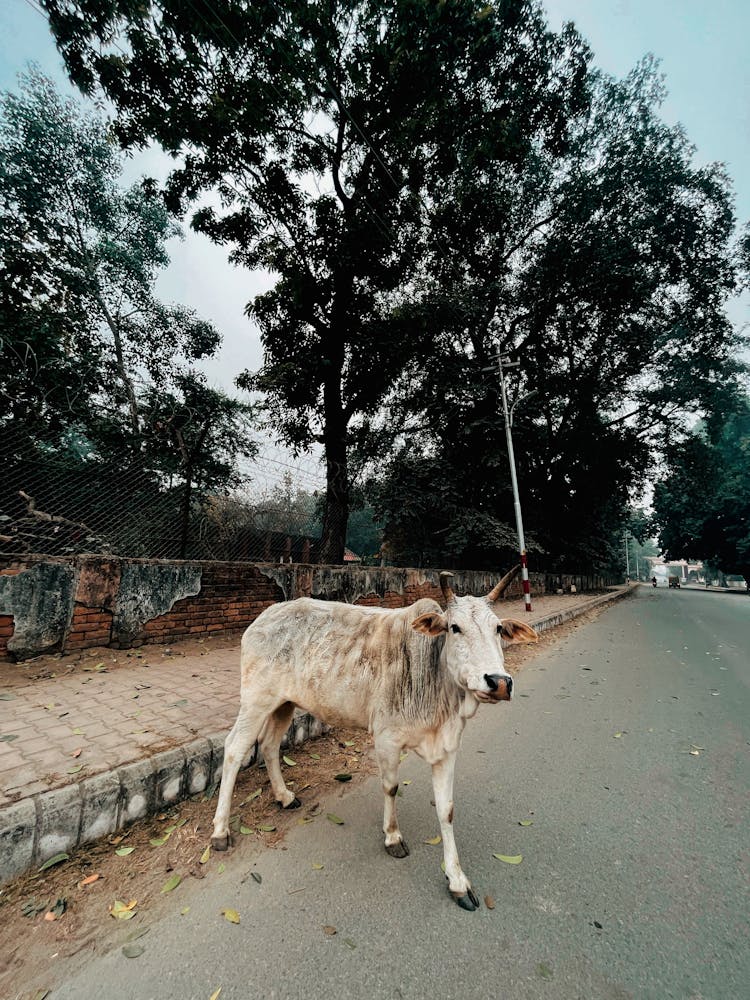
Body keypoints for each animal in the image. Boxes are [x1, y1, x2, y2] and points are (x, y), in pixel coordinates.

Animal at [212, 568, 540, 912]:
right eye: (455, 628)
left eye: (498, 629)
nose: (499, 682)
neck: (433, 679)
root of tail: (264, 616)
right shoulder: (386, 739)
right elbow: (391, 788)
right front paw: (393, 837)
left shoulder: (447, 748)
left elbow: (446, 810)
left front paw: (458, 881)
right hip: (256, 700)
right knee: (234, 749)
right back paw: (220, 831)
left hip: (283, 703)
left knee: (270, 744)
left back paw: (284, 797)